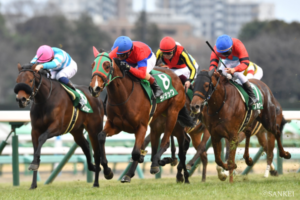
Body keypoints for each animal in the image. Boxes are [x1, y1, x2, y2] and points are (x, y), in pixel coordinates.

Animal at [88, 49, 195, 183]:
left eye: (107, 66)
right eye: (92, 65)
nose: (94, 88)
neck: (124, 96)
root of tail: (177, 77)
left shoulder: (142, 126)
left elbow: (135, 152)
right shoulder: (115, 125)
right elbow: (101, 136)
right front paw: (108, 171)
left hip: (173, 113)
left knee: (169, 142)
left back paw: (164, 167)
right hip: (163, 123)